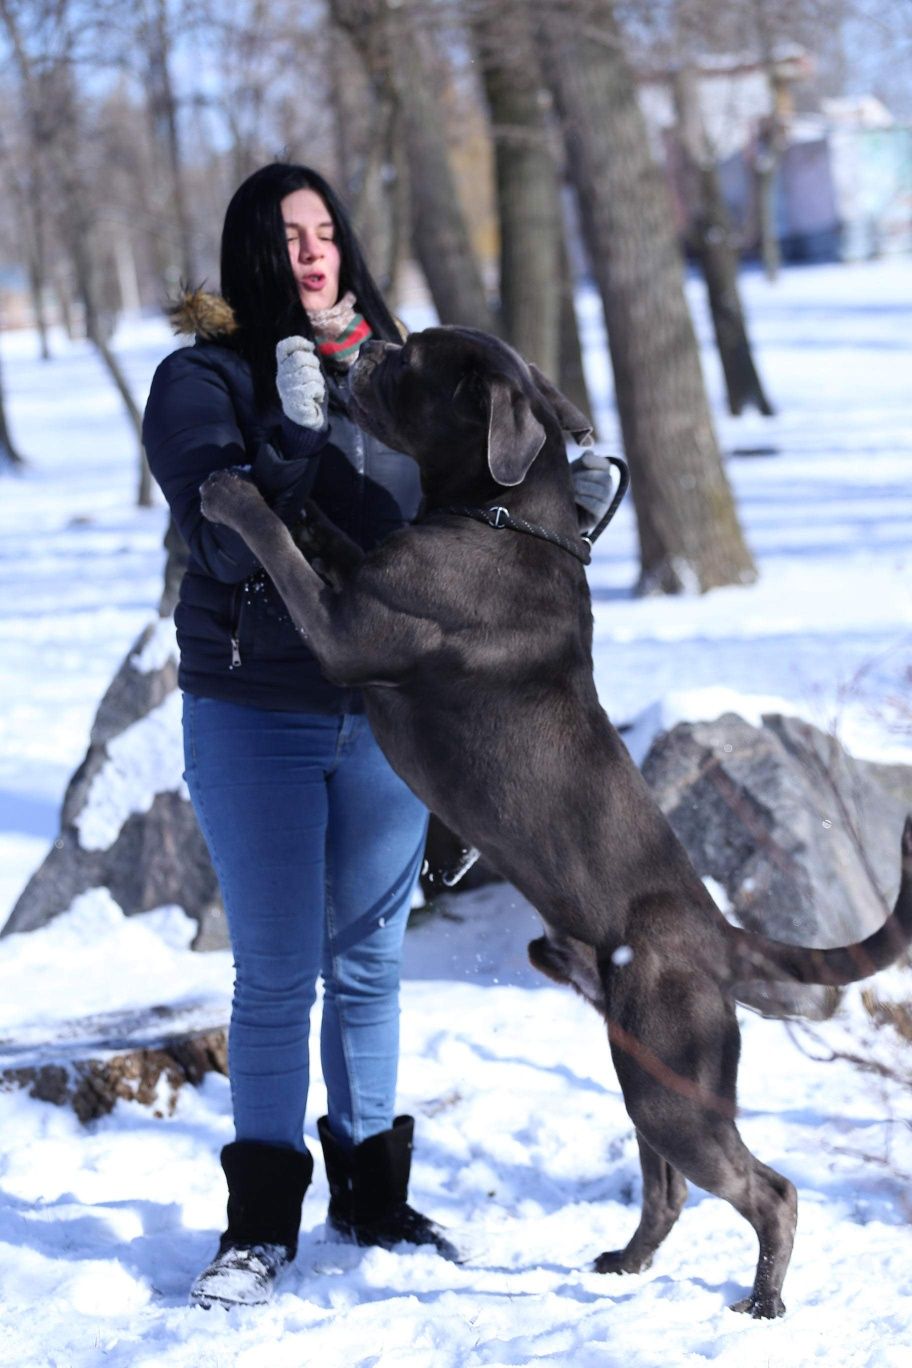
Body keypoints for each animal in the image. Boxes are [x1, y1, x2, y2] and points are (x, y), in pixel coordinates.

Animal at [200, 325, 912, 1318]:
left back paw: (762, 1300)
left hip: (674, 1076)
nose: (365, 345)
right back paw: (628, 1261)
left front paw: (234, 493)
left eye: (412, 359)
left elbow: (285, 549)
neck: (496, 517)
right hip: (639, 1064)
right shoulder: (363, 580)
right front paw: (280, 485)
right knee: (668, 1186)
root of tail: (718, 933)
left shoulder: (347, 631)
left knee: (767, 1187)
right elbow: (329, 532)